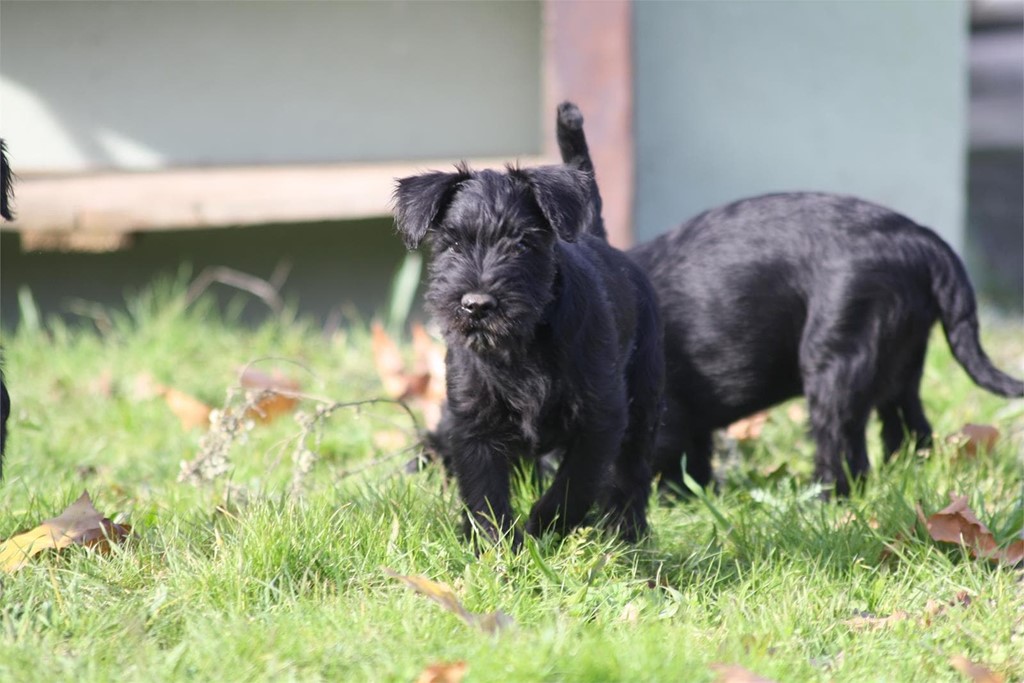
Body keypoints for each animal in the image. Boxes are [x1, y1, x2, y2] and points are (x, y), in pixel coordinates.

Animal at [391, 156, 663, 548]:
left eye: (521, 244)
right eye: (453, 245)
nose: (476, 305)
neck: (520, 343)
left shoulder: (599, 419)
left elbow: (576, 482)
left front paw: (545, 526)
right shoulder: (474, 422)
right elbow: (484, 491)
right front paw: (495, 545)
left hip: (643, 399)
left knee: (632, 472)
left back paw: (628, 534)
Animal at [561, 101, 1024, 497]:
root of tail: (925, 242)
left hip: (837, 362)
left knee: (844, 449)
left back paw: (821, 499)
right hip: (900, 364)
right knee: (908, 429)